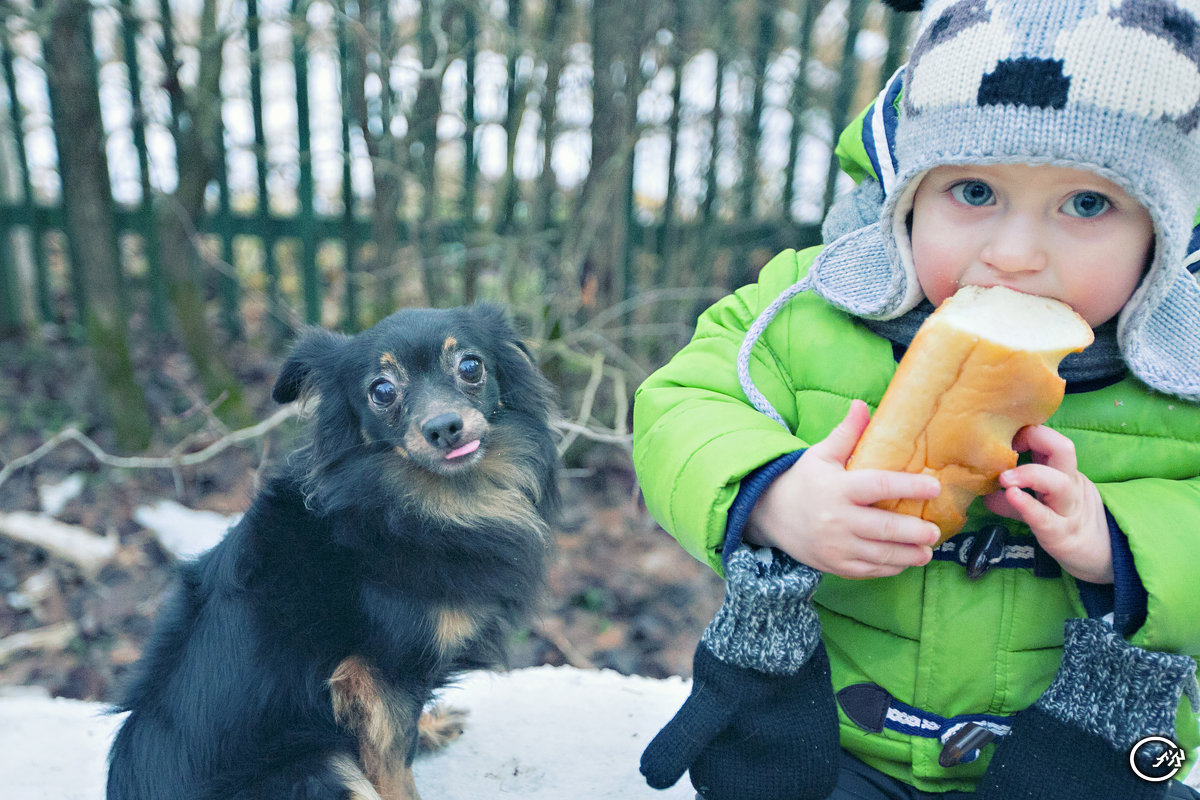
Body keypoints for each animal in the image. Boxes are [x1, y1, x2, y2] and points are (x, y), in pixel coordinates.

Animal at [108, 307, 556, 800]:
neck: (429, 502)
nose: (444, 427)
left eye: (471, 367)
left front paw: (430, 726)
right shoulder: (379, 674)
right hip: (319, 765)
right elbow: (394, 761)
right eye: (382, 390)